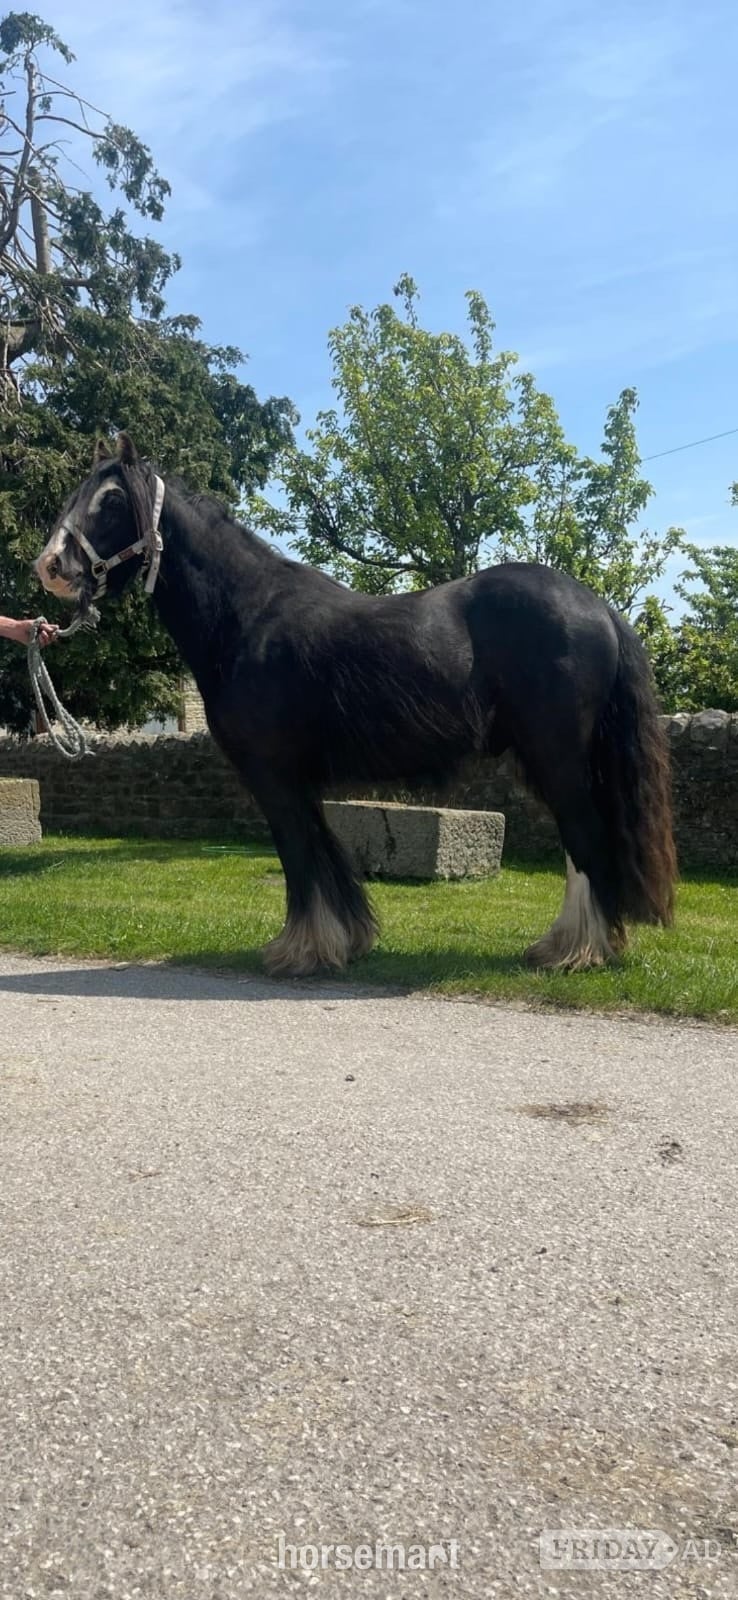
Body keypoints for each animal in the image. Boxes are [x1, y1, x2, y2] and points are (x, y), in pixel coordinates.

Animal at [35, 434, 677, 977]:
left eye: (112, 499)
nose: (51, 566)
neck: (247, 615)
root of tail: (596, 605)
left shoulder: (273, 774)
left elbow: (299, 853)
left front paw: (301, 952)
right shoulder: (298, 779)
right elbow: (323, 852)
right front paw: (343, 941)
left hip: (556, 757)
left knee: (585, 837)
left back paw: (576, 951)